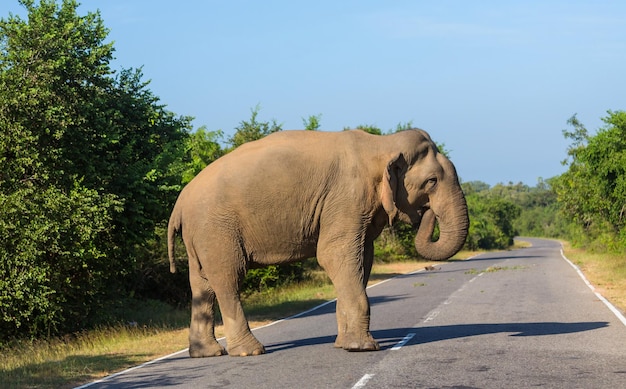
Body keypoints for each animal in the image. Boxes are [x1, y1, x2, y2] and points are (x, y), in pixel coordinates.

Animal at [168, 129, 466, 356]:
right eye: (432, 181)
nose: (428, 213)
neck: (381, 144)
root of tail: (179, 203)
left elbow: (362, 258)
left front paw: (344, 344)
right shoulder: (347, 197)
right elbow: (334, 254)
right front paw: (363, 348)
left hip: (200, 235)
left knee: (202, 286)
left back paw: (207, 353)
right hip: (216, 229)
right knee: (228, 278)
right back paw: (250, 351)